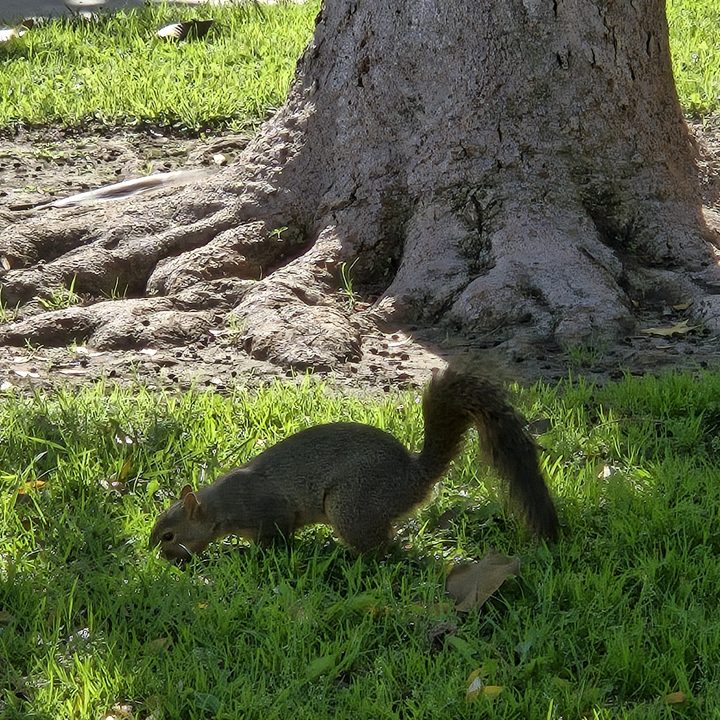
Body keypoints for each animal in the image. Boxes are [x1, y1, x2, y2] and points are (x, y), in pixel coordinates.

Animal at [150, 364, 559, 562]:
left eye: (169, 536)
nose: (165, 560)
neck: (221, 505)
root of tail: (414, 477)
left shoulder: (270, 511)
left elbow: (275, 540)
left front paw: (249, 555)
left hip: (351, 502)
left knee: (382, 549)